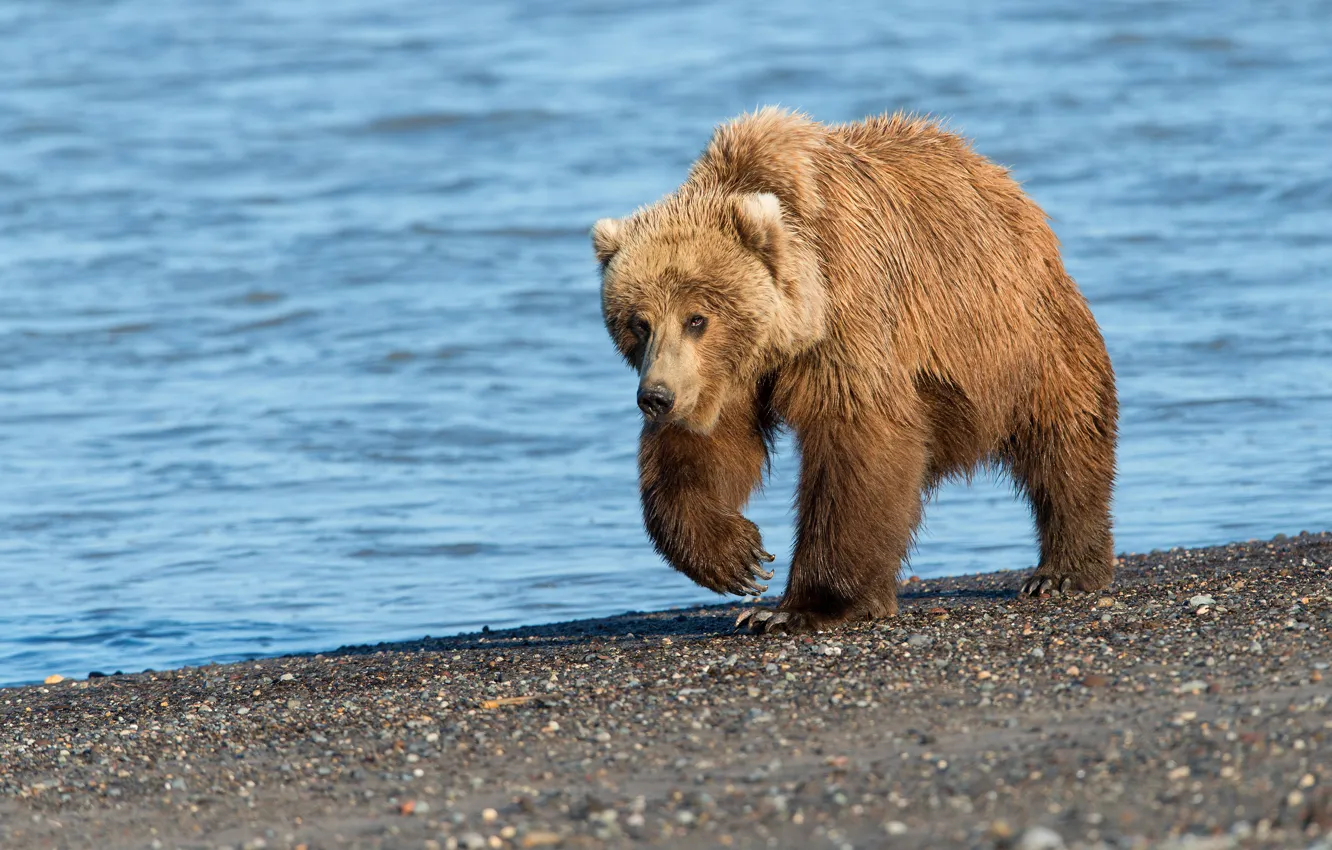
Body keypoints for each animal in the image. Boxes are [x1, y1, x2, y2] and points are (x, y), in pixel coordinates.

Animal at [592, 107, 1118, 633]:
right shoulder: (724, 375)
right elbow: (704, 447)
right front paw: (738, 558)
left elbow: (859, 442)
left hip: (1021, 334)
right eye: (638, 322)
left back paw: (1061, 571)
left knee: (1064, 437)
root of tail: (1010, 187)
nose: (655, 397)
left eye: (697, 318)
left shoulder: (851, 312)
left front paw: (800, 607)